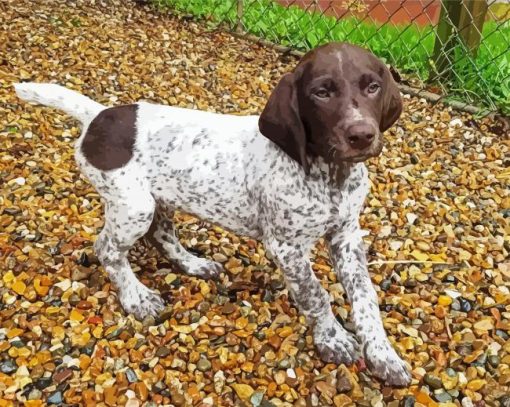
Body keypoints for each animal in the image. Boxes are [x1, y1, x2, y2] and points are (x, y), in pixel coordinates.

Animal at [15, 43, 412, 388]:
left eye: (373, 87)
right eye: (321, 93)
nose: (362, 135)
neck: (330, 175)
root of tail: (97, 116)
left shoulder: (346, 235)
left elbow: (365, 298)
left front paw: (383, 355)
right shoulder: (286, 246)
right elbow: (315, 294)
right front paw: (332, 339)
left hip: (162, 197)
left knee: (161, 236)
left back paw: (193, 264)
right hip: (134, 204)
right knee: (108, 249)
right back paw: (137, 298)